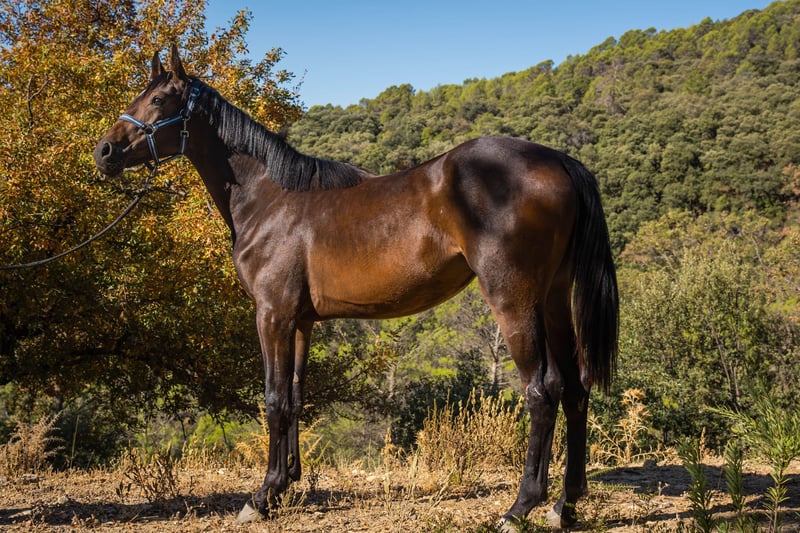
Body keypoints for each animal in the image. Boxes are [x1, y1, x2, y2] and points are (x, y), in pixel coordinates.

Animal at [94, 45, 618, 529]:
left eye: (158, 99)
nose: (105, 152)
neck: (270, 199)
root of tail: (558, 160)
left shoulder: (272, 315)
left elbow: (273, 399)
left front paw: (261, 497)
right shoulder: (300, 322)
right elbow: (295, 397)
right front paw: (286, 484)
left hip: (514, 301)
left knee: (542, 390)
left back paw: (520, 507)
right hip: (553, 300)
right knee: (575, 388)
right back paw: (565, 505)